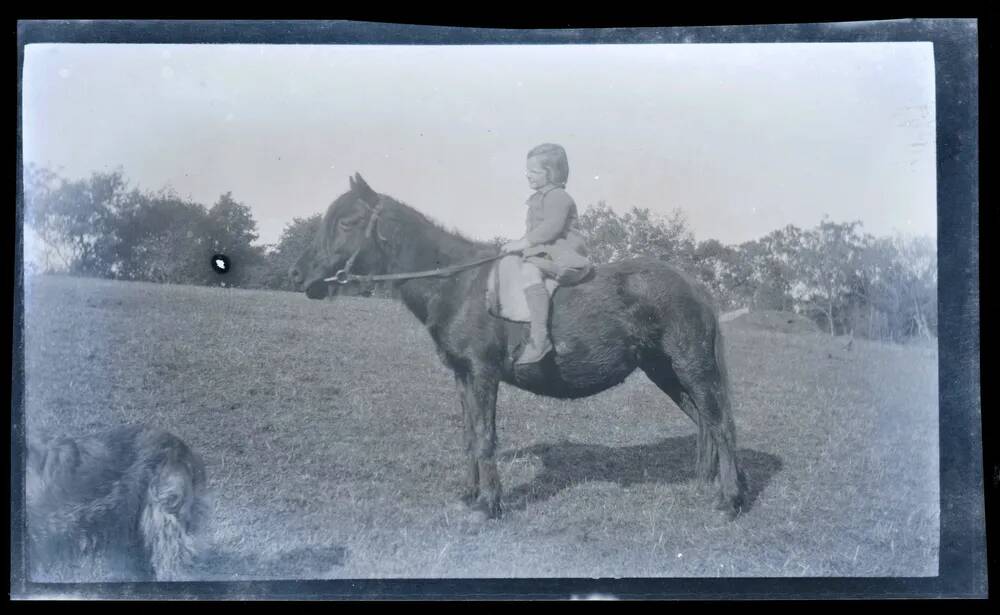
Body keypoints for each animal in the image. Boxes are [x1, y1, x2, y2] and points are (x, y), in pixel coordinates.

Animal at [292, 173, 748, 520]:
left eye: (348, 222)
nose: (299, 276)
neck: (459, 285)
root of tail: (695, 285)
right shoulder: (462, 376)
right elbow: (469, 435)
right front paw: (470, 494)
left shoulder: (482, 374)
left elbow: (485, 435)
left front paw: (489, 503)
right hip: (664, 371)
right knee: (704, 423)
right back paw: (708, 484)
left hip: (691, 366)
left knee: (720, 424)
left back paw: (729, 499)